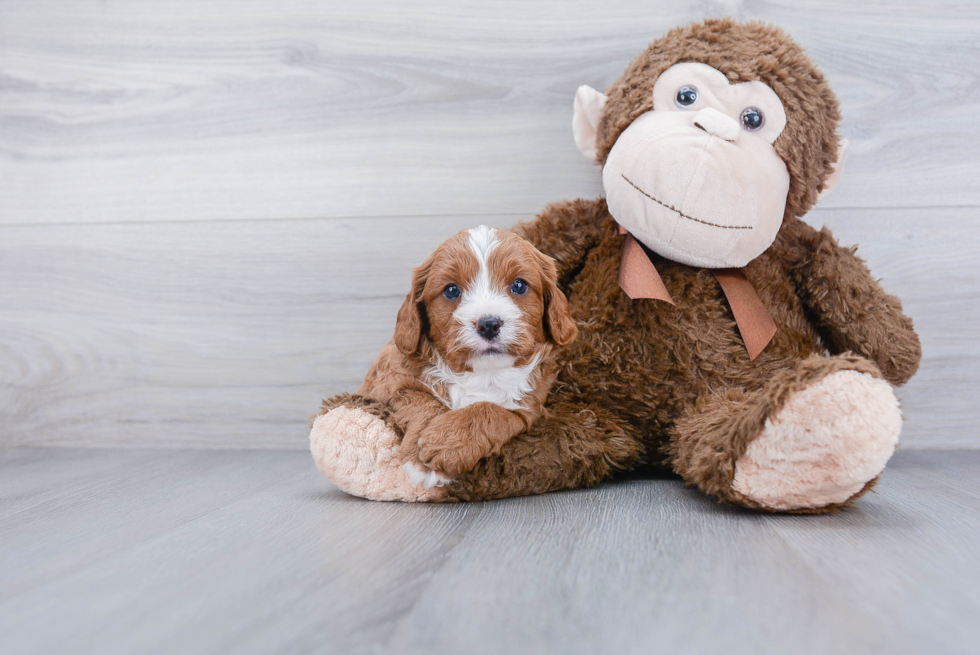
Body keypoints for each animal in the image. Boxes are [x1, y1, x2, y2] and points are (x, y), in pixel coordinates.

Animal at [356, 226, 580, 486]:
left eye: (519, 285)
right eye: (452, 290)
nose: (489, 324)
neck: (482, 373)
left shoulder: (528, 409)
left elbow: (491, 411)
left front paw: (447, 442)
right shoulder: (387, 383)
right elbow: (424, 399)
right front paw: (422, 457)